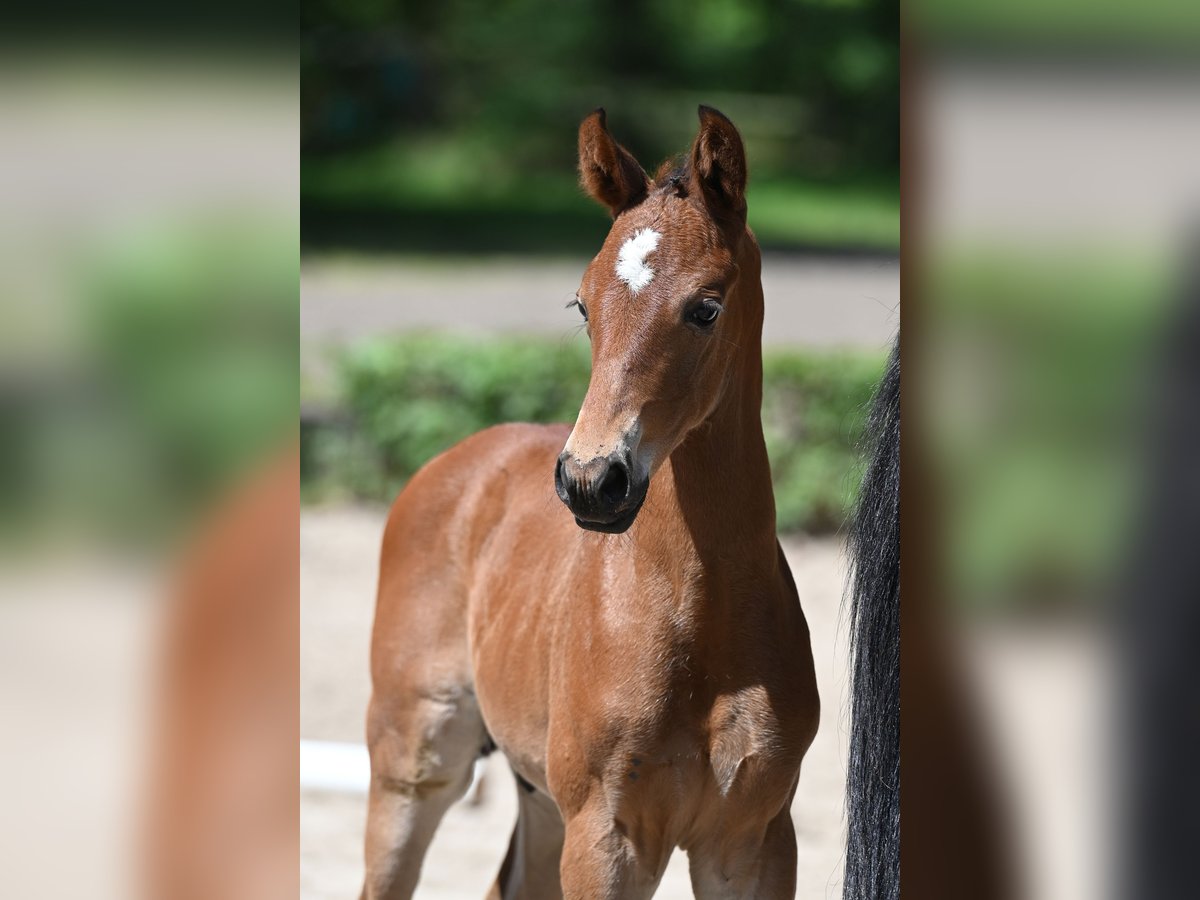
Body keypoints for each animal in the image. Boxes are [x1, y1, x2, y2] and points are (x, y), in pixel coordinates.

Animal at [360, 107, 820, 900]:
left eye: (706, 307)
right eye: (583, 305)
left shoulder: (755, 838)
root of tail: (458, 459)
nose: (590, 480)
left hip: (540, 795)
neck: (700, 611)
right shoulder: (607, 835)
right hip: (414, 767)